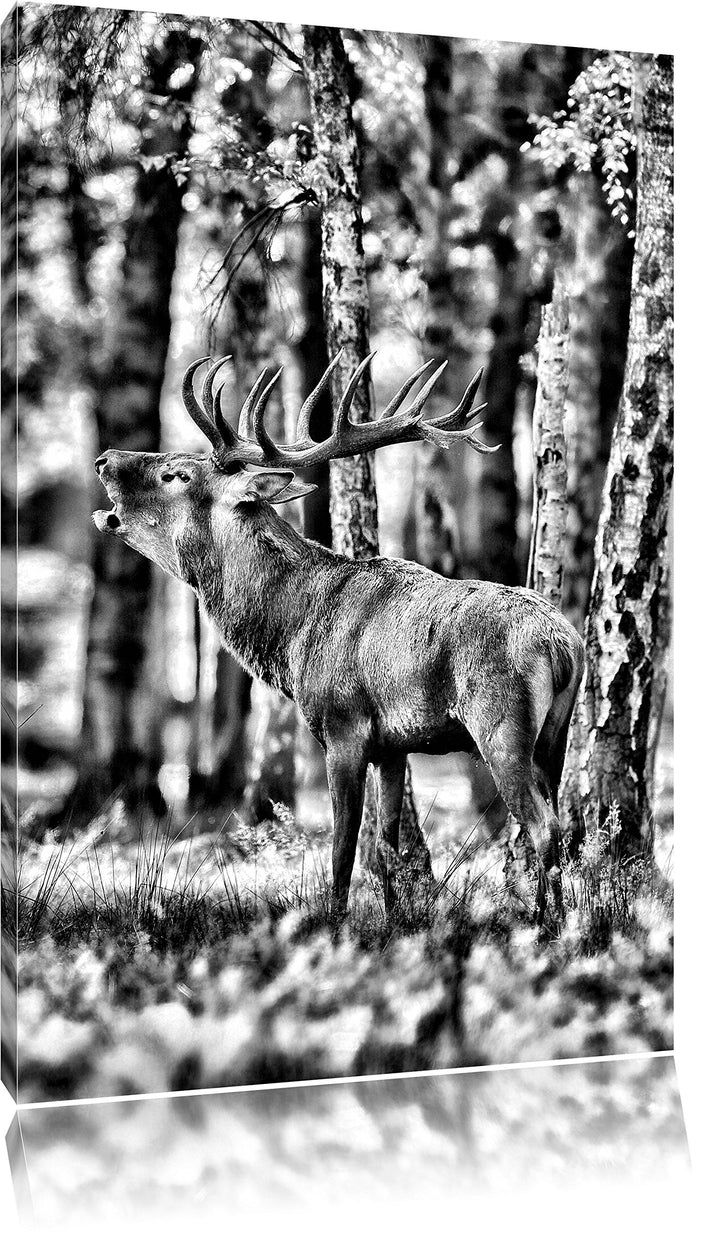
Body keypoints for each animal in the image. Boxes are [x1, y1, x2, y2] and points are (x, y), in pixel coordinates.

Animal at [93, 352, 584, 924]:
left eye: (177, 473)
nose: (105, 458)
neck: (292, 636)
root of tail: (564, 646)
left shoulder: (342, 726)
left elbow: (344, 848)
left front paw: (336, 923)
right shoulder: (395, 745)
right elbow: (388, 845)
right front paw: (395, 921)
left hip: (501, 723)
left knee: (544, 825)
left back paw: (548, 925)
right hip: (555, 735)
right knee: (558, 818)